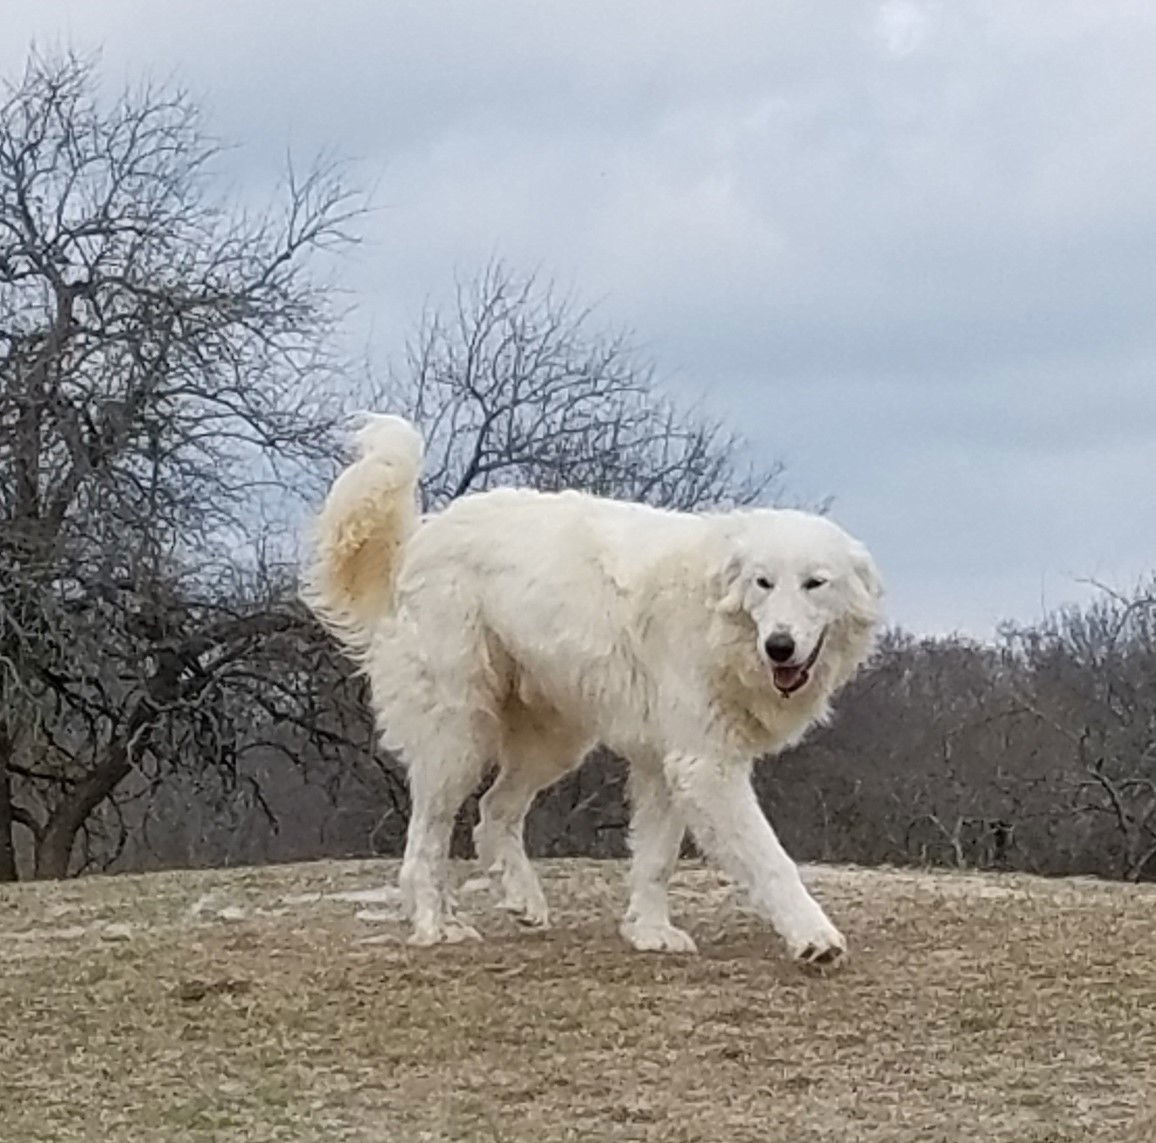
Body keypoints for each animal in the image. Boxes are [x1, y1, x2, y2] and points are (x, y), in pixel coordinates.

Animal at [302, 411, 878, 961]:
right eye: (764, 583)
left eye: (814, 583)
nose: (779, 646)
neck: (717, 615)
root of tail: (424, 534)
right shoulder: (706, 764)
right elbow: (771, 858)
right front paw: (814, 938)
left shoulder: (667, 761)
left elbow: (656, 858)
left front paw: (649, 931)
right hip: (458, 735)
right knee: (427, 838)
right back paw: (434, 924)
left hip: (553, 741)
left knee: (493, 812)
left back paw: (521, 900)